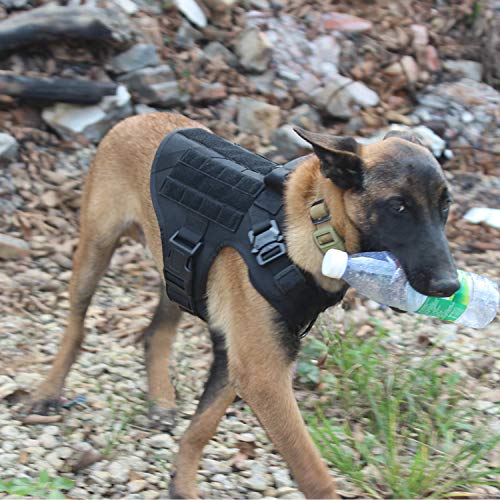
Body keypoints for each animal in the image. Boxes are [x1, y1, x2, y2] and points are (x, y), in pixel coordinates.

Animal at [25, 113, 458, 500]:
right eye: (398, 207)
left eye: (446, 205)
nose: (450, 285)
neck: (315, 226)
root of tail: (136, 117)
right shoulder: (263, 375)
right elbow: (312, 472)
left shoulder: (234, 359)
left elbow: (201, 428)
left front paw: (181, 486)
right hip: (95, 250)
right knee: (76, 325)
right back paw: (48, 390)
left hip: (176, 271)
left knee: (156, 332)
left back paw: (161, 397)